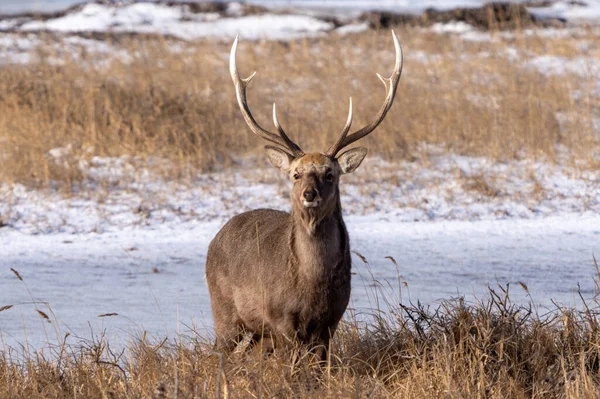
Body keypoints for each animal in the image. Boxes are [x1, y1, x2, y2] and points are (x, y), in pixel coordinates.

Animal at [205, 31, 404, 360]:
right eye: (295, 174)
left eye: (329, 173)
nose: (309, 194)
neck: (313, 284)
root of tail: (216, 237)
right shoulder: (280, 317)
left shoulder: (332, 319)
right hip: (224, 310)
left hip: (256, 332)